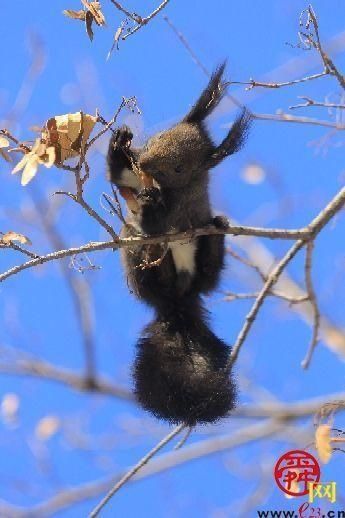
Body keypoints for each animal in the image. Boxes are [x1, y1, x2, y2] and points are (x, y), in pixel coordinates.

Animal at [106, 65, 249, 428]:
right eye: (158, 137)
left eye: (179, 167)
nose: (145, 161)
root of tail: (177, 301)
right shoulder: (136, 180)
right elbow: (121, 179)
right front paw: (119, 143)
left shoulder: (183, 210)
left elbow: (157, 223)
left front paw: (150, 206)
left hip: (190, 271)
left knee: (206, 270)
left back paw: (217, 230)